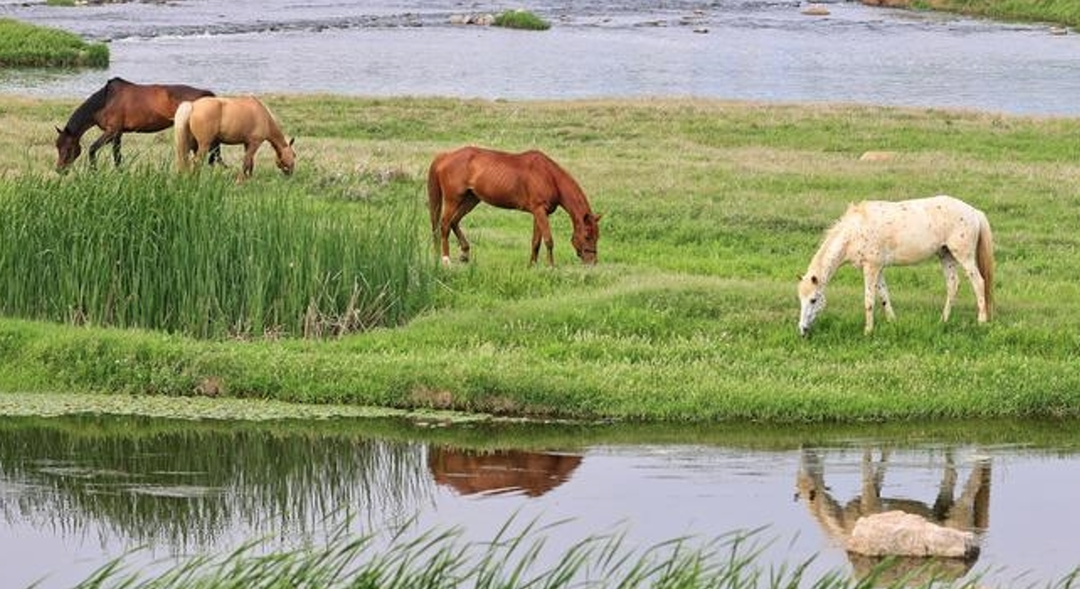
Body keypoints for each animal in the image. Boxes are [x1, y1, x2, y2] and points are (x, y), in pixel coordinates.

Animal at [54, 77, 223, 170]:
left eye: (68, 148)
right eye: (58, 147)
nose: (59, 170)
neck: (106, 101)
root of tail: (207, 95)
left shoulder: (112, 131)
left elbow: (92, 149)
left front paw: (94, 171)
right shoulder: (118, 134)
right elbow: (117, 156)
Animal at [427, 146, 602, 266]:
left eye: (597, 236)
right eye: (587, 236)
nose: (592, 262)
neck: (549, 176)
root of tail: (445, 156)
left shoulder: (539, 213)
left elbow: (536, 241)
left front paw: (532, 265)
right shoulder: (539, 210)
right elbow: (548, 240)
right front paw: (551, 266)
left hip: (471, 200)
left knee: (454, 222)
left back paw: (464, 253)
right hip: (453, 199)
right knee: (444, 224)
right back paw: (446, 259)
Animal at [797, 195, 994, 336]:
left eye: (813, 299)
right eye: (801, 299)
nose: (802, 330)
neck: (855, 230)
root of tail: (973, 211)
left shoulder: (871, 268)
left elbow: (869, 300)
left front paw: (868, 331)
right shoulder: (878, 270)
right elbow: (884, 296)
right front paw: (892, 322)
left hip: (964, 257)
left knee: (979, 283)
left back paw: (982, 321)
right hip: (946, 256)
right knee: (953, 285)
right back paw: (943, 320)